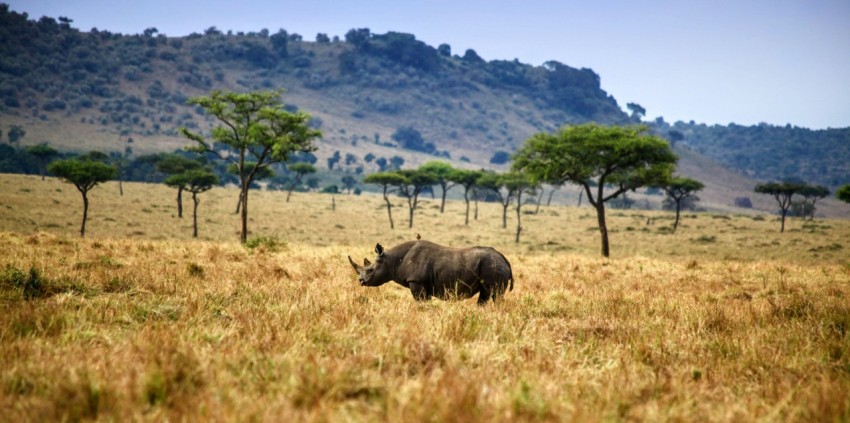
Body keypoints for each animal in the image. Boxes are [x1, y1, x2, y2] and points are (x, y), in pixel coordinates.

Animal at [347, 240, 513, 304]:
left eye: (370, 270)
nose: (361, 281)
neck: (391, 260)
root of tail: (504, 259)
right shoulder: (423, 284)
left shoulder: (416, 281)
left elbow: (420, 301)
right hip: (492, 265)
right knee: (485, 294)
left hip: (493, 266)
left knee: (496, 294)